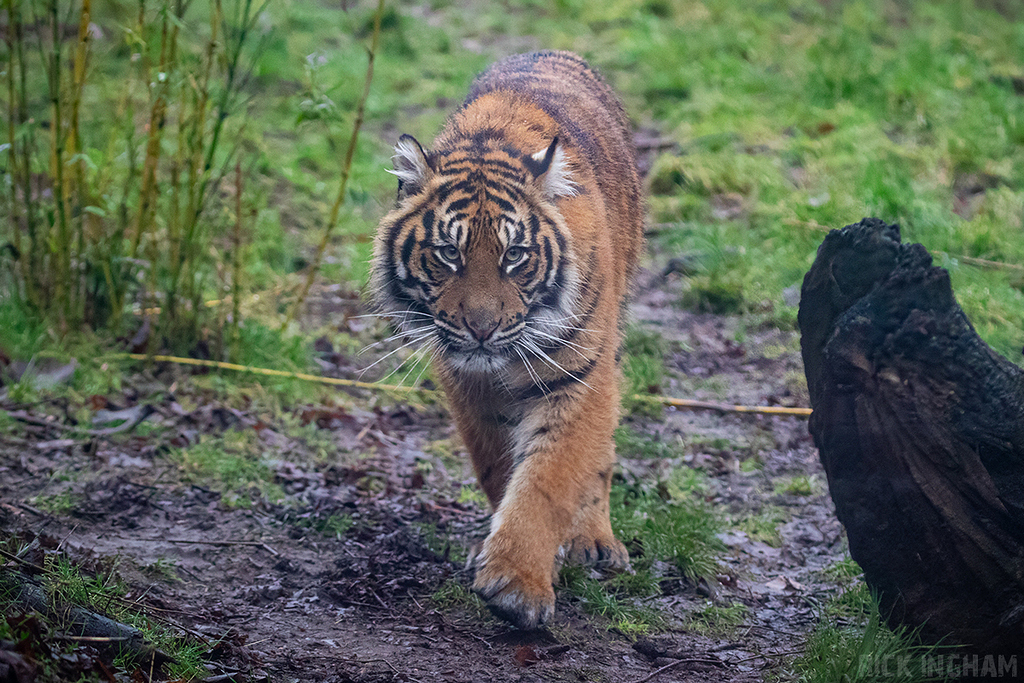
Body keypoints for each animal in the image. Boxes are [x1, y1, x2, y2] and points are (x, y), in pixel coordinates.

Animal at [370, 50, 644, 629]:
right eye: (448, 254)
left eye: (514, 256)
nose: (481, 327)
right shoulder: (468, 385)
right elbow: (499, 466)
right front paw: (503, 554)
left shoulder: (578, 377)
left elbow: (549, 478)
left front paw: (517, 583)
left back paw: (594, 542)